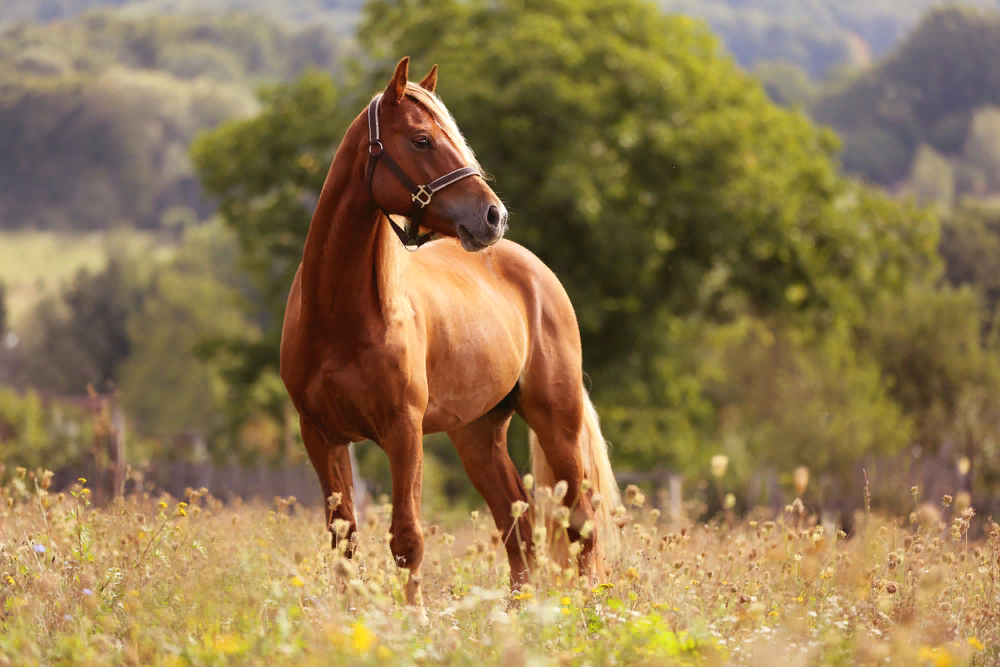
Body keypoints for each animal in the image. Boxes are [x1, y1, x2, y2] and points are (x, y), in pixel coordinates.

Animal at [282, 60, 620, 608]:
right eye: (421, 140)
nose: (493, 216)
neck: (339, 317)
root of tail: (536, 272)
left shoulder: (403, 430)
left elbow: (407, 538)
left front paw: (414, 618)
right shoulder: (321, 435)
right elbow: (343, 539)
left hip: (558, 422)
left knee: (580, 522)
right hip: (478, 434)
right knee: (517, 524)